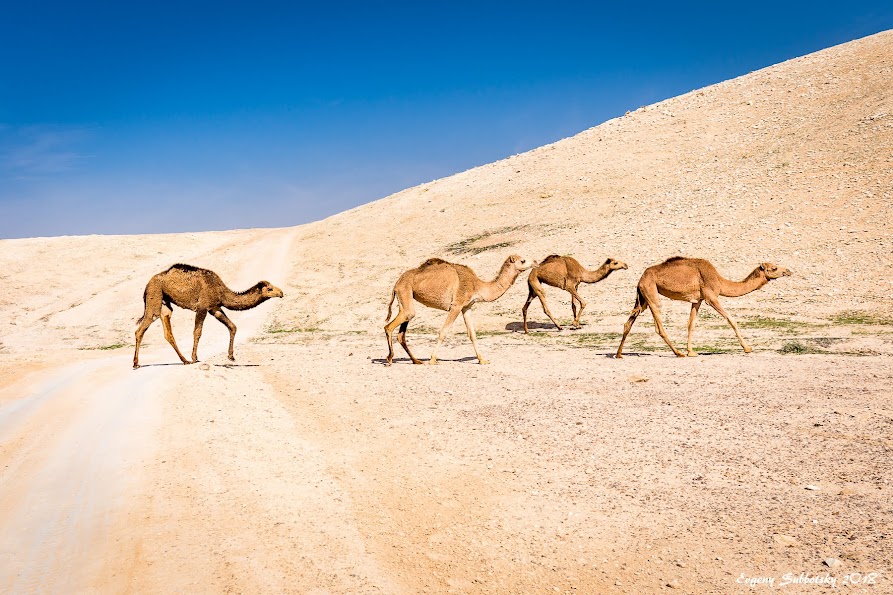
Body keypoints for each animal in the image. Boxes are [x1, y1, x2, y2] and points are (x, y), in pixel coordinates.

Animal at [133, 264, 282, 368]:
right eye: (269, 289)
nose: (281, 293)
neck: (221, 291)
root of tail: (147, 285)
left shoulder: (215, 308)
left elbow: (232, 326)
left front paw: (231, 356)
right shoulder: (202, 307)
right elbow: (197, 332)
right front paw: (195, 358)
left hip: (165, 302)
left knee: (167, 329)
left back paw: (184, 360)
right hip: (155, 295)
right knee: (141, 329)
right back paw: (136, 363)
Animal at [382, 254, 528, 366]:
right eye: (523, 260)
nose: (533, 262)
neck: (477, 285)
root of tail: (396, 283)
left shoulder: (466, 307)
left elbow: (472, 334)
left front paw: (482, 360)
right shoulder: (456, 305)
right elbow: (443, 332)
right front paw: (432, 360)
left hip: (406, 298)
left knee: (402, 332)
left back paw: (416, 361)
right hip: (405, 292)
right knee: (389, 327)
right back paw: (389, 359)